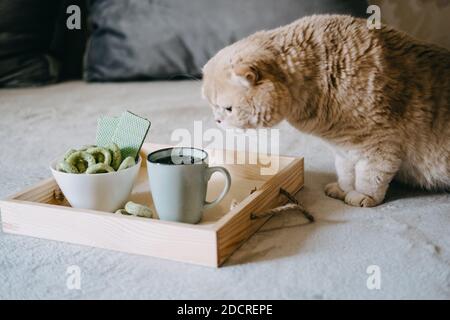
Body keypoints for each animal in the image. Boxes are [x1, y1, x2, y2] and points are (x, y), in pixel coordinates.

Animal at [203, 14, 450, 208]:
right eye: (212, 107)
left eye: (228, 109)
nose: (217, 120)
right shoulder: (345, 148)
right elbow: (347, 172)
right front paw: (344, 189)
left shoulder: (380, 144)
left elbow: (370, 176)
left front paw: (363, 196)